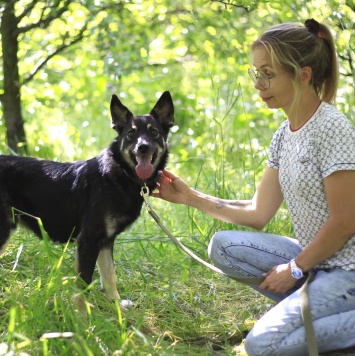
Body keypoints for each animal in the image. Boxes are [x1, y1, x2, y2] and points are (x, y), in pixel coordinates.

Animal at [0, 92, 175, 312]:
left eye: (154, 132)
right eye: (130, 134)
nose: (142, 148)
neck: (119, 175)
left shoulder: (105, 241)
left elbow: (109, 275)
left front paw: (116, 304)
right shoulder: (87, 241)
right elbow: (83, 283)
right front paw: (82, 316)